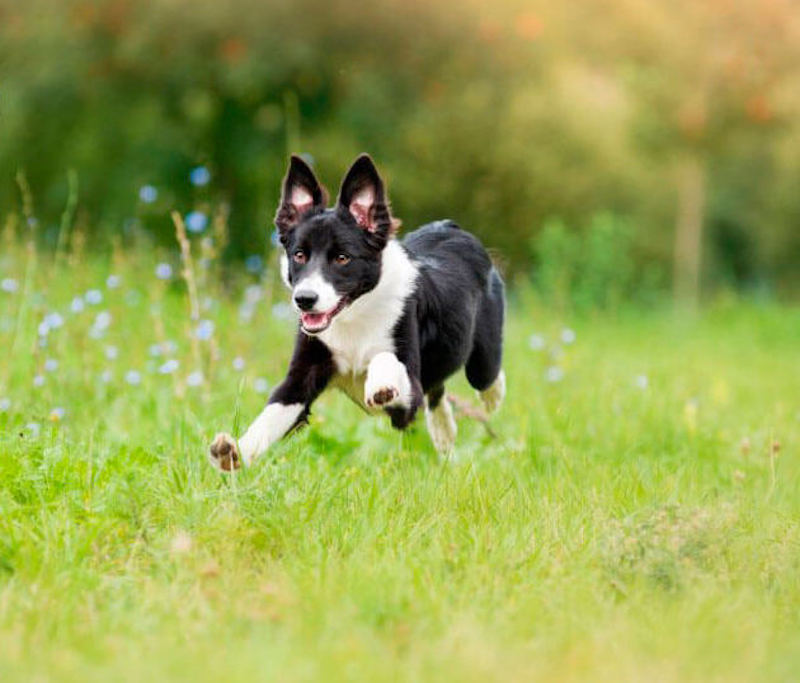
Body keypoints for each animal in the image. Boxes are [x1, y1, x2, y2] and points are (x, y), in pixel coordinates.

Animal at [208, 156, 506, 472]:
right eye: (299, 255)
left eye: (342, 258)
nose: (304, 300)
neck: (353, 317)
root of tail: (451, 226)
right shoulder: (303, 375)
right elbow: (270, 416)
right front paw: (232, 451)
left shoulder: (407, 395)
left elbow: (385, 359)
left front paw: (382, 385)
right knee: (437, 390)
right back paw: (444, 433)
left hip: (483, 355)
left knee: (484, 376)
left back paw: (491, 398)